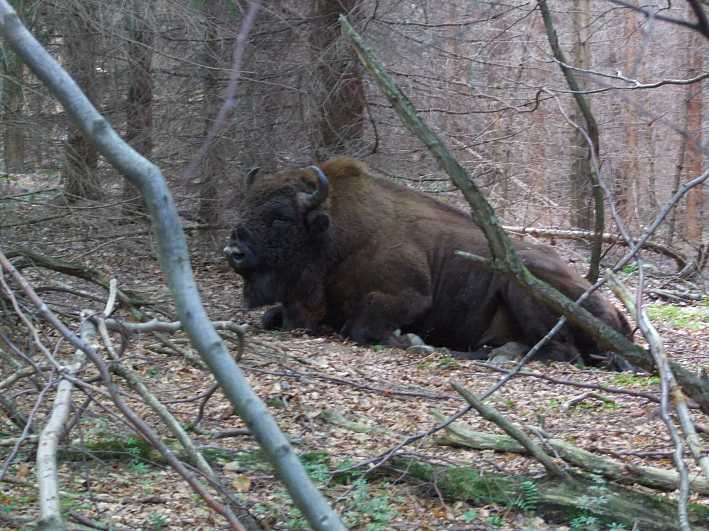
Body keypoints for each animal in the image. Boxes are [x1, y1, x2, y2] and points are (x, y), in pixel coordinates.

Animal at [225, 156, 632, 368]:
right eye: (246, 205)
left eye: (281, 217)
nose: (234, 251)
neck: (336, 233)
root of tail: (618, 316)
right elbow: (274, 316)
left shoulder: (408, 297)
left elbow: (362, 328)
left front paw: (412, 340)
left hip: (523, 284)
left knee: (561, 352)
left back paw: (494, 354)